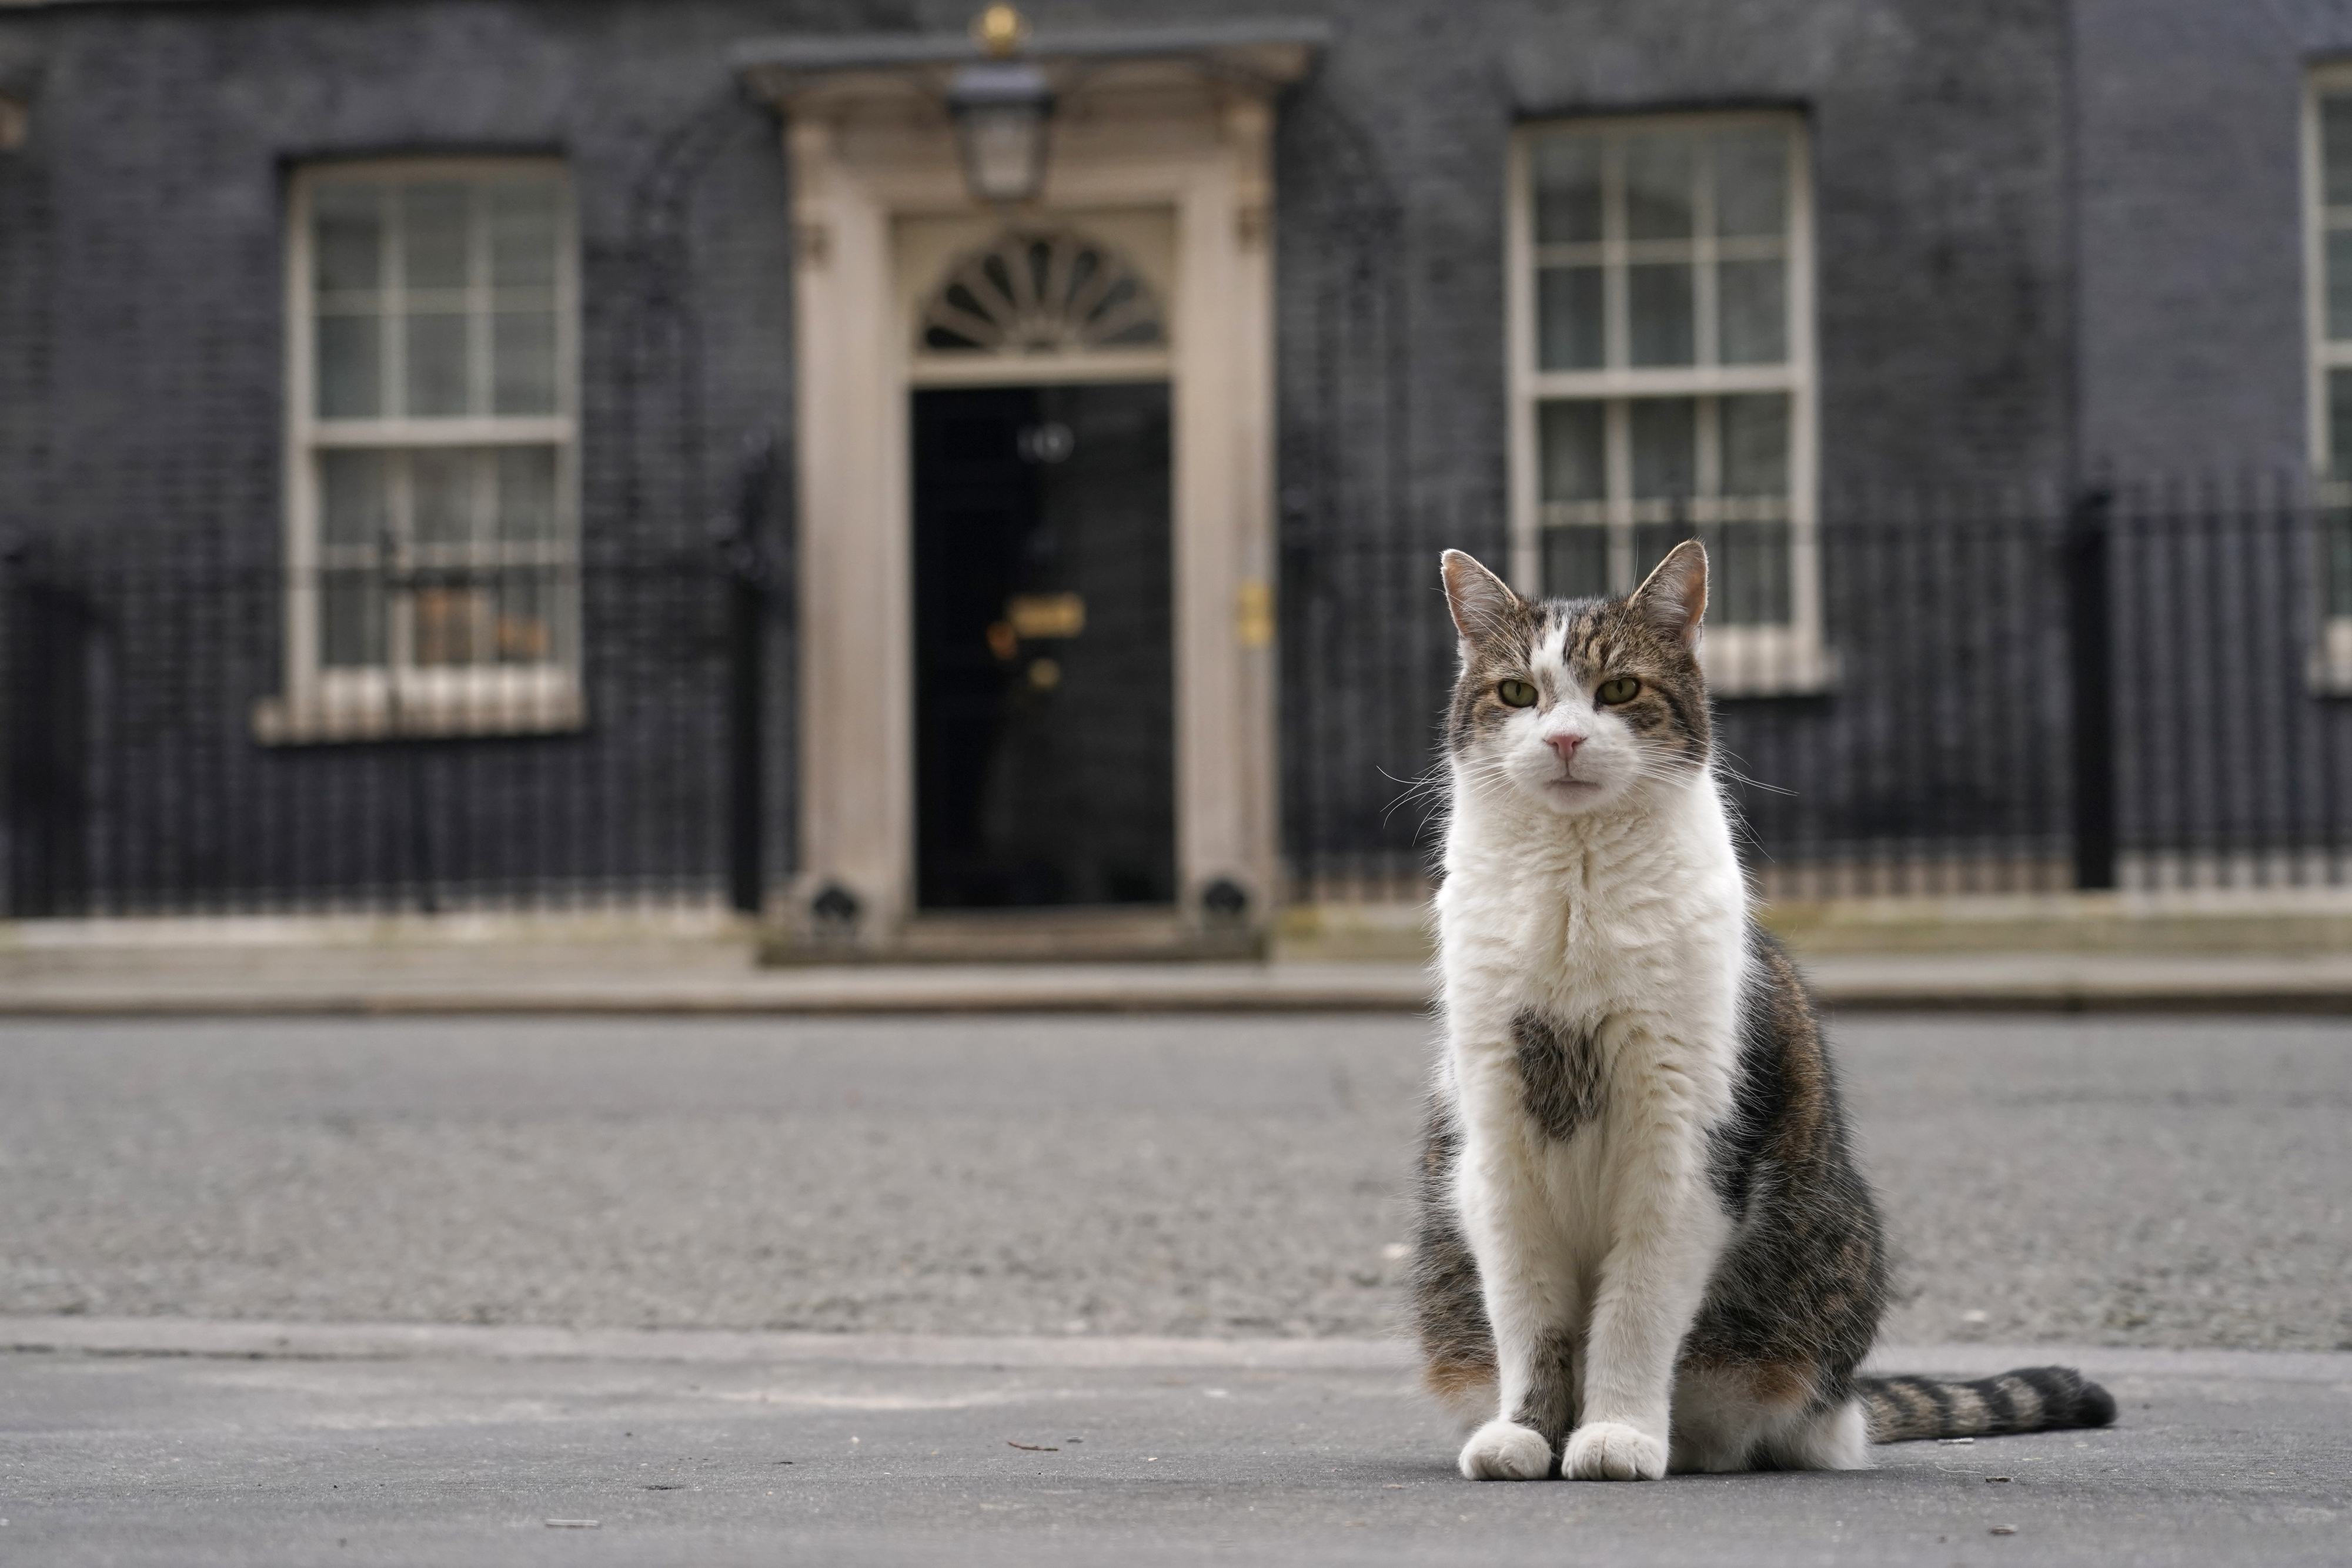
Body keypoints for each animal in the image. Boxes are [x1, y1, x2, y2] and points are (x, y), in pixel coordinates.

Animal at [1411, 545, 2117, 1476]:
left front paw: (1618, 1432)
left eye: (1620, 690)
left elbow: (1633, 1313)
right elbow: (1531, 1317)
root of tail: (1849, 1400)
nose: (1563, 739)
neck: (1576, 889)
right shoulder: (1498, 1144)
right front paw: (1527, 1432)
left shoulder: (1684, 1147)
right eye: (1518, 693)